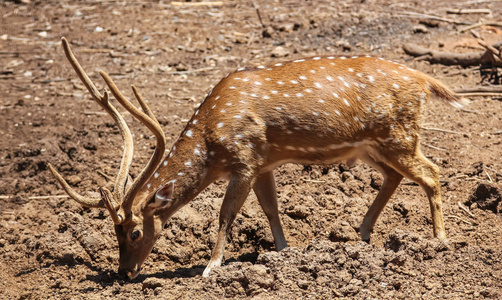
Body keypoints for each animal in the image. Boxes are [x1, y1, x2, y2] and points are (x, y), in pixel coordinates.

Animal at [49, 37, 464, 278]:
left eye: (135, 232)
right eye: (113, 233)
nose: (125, 273)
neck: (210, 142)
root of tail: (426, 81)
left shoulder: (245, 158)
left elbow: (226, 213)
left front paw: (211, 268)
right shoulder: (265, 163)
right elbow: (270, 209)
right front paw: (283, 252)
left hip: (398, 135)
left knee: (432, 171)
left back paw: (439, 242)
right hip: (370, 146)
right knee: (397, 176)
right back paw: (362, 234)